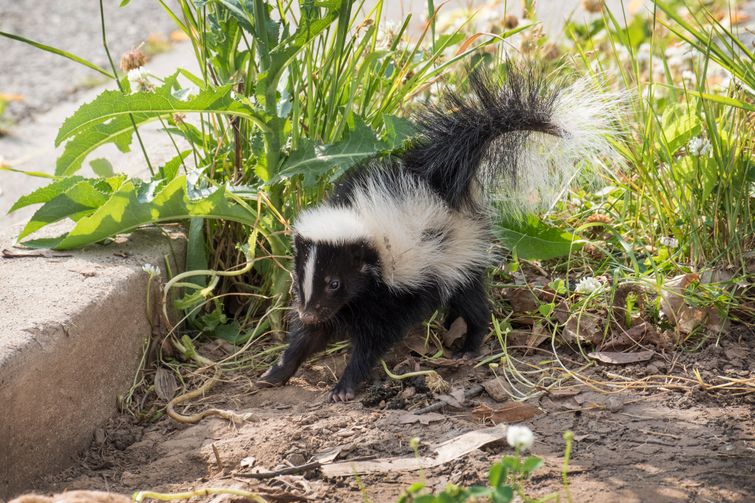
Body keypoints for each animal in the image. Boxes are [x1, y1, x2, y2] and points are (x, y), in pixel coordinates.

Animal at [260, 64, 620, 402]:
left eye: (335, 282)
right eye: (298, 277)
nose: (307, 313)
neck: (367, 233)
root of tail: (444, 183)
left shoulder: (388, 293)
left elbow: (372, 342)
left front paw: (345, 384)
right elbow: (309, 339)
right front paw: (276, 372)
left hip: (456, 255)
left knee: (473, 303)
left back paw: (469, 345)